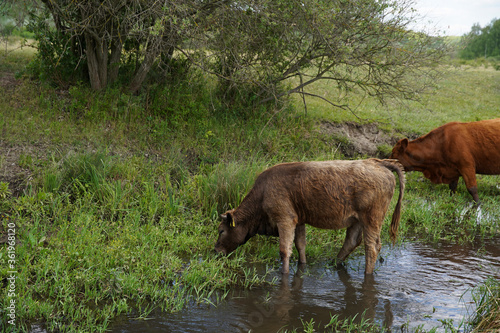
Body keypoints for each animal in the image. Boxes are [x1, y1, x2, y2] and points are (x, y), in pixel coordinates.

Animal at [213, 158, 404, 272]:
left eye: (221, 230)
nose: (215, 250)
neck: (262, 193)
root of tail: (377, 162)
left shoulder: (285, 219)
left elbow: (284, 250)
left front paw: (284, 273)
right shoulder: (299, 221)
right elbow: (300, 245)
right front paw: (302, 265)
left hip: (371, 220)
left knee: (371, 248)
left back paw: (367, 274)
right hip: (357, 220)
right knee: (351, 241)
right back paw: (334, 264)